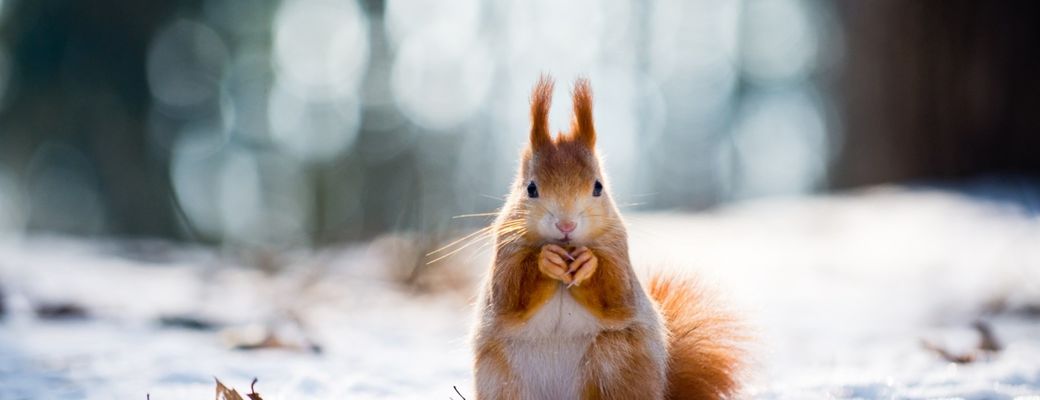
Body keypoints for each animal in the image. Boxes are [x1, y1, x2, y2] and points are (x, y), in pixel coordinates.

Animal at [472, 75, 748, 398]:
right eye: (530, 188)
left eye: (598, 187)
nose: (566, 225)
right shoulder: (505, 250)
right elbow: (508, 295)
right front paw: (546, 260)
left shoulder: (618, 250)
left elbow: (617, 294)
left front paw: (588, 264)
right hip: (502, 378)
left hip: (616, 360)